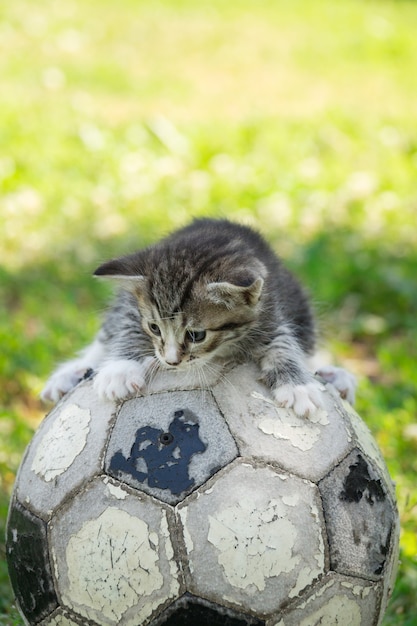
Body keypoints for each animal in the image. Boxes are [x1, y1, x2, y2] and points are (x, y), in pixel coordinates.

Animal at [41, 217, 354, 416]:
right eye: (154, 328)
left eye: (196, 335)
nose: (171, 362)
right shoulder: (133, 306)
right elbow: (127, 326)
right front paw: (120, 369)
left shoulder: (270, 312)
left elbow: (284, 343)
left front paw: (298, 386)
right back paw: (71, 373)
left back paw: (335, 377)